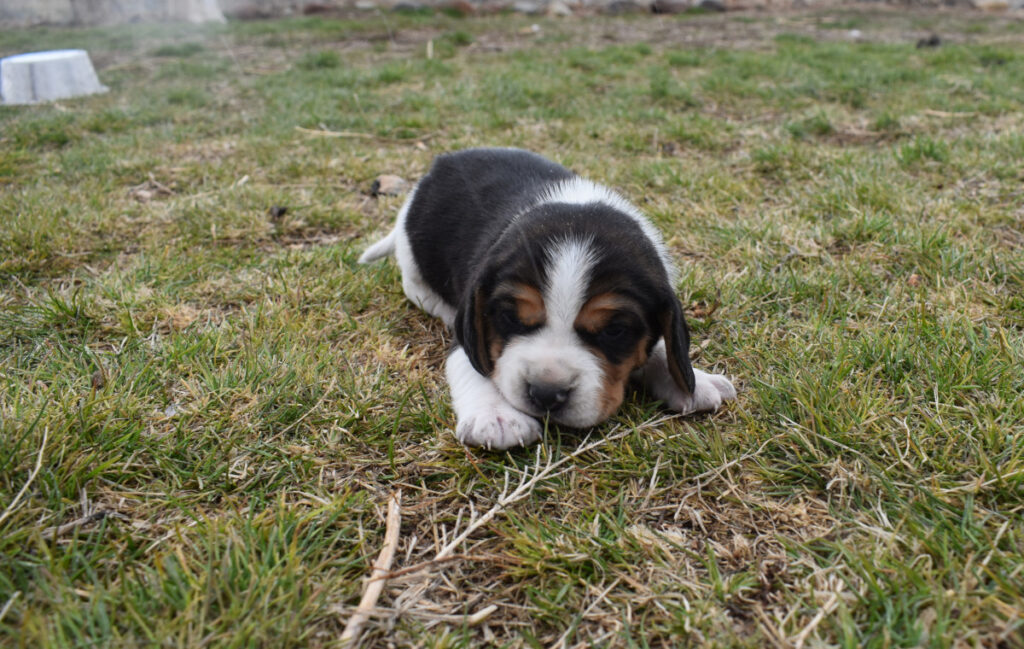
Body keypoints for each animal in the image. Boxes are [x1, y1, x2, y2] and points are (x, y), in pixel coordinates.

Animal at [362, 148, 737, 446]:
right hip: (415, 260)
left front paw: (692, 379)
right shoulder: (467, 327)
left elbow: (663, 345)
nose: (546, 393)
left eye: (615, 330)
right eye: (510, 317)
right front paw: (496, 416)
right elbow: (475, 365)